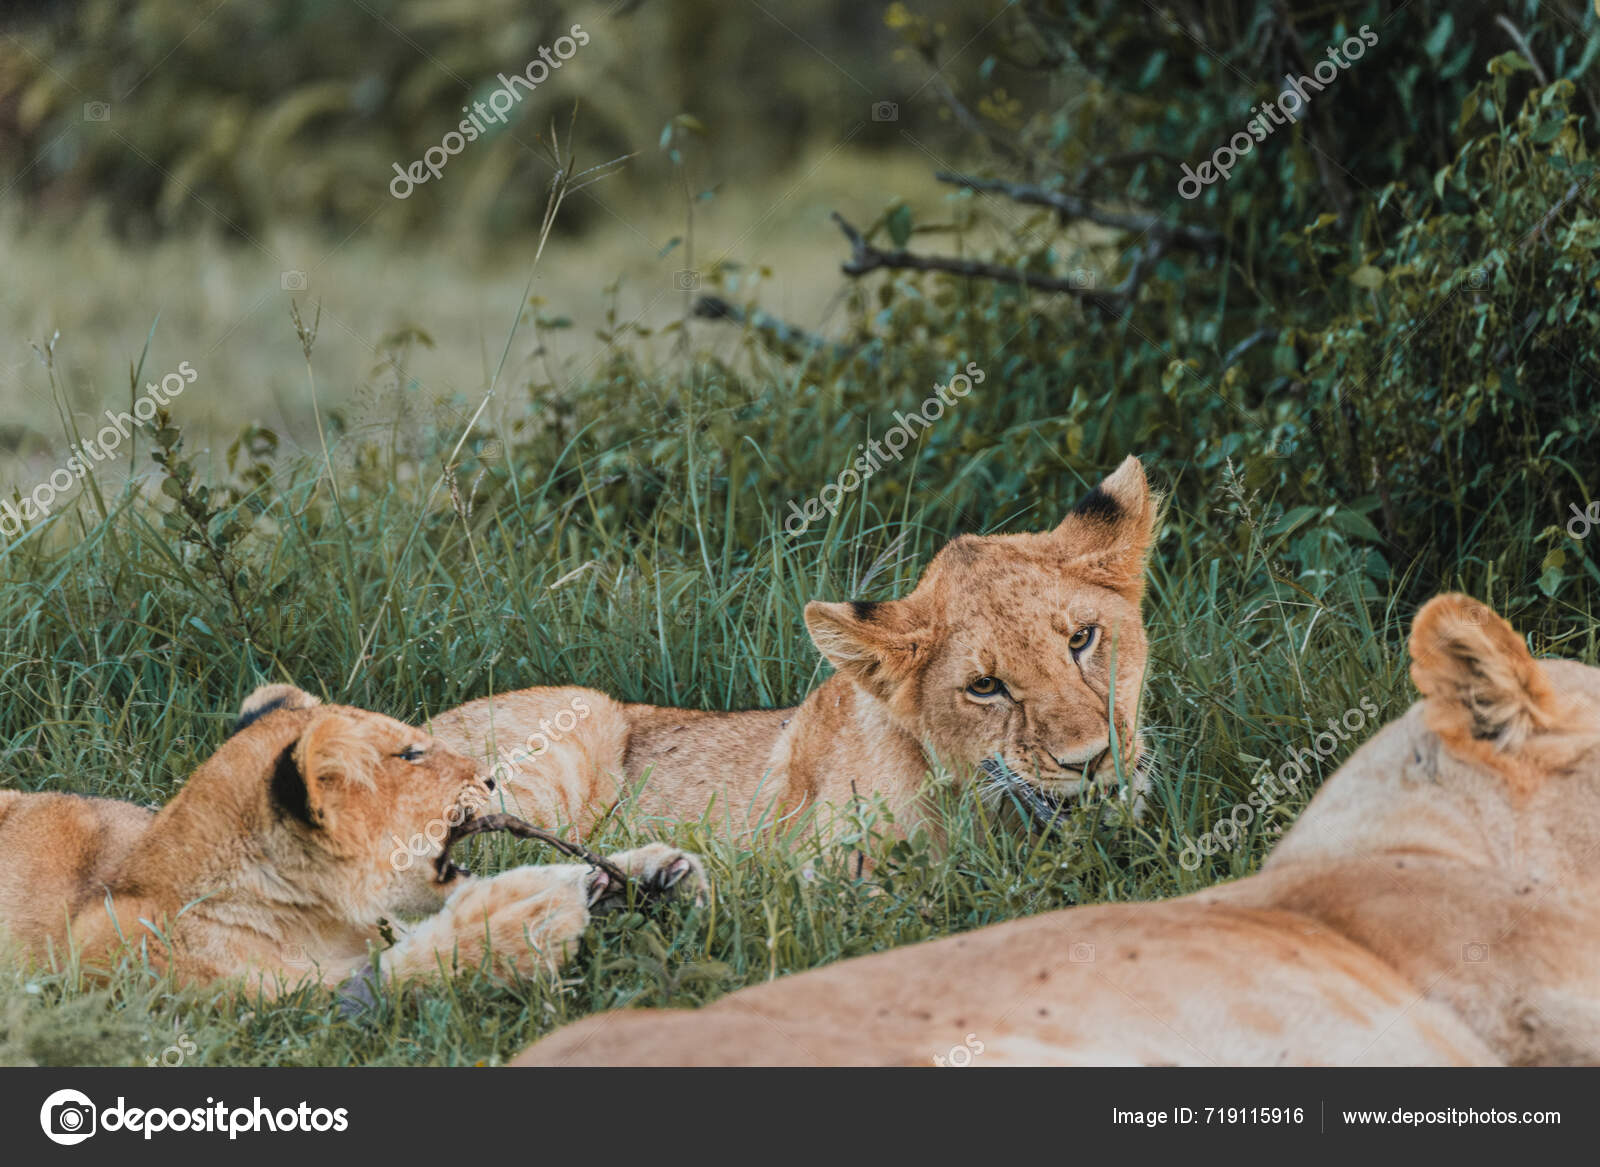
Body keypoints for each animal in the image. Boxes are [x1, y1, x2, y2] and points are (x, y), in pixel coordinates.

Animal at [0, 681, 707, 992]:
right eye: (414, 754)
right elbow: (399, 971)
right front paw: (522, 918)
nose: (490, 775)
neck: (319, 914)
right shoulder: (259, 1015)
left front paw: (649, 874)